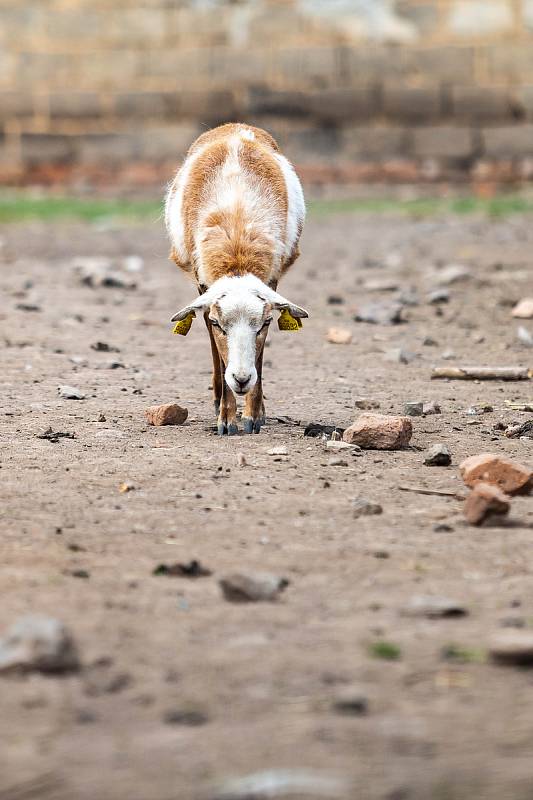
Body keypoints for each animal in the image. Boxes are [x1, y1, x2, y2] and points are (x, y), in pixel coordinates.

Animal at [164, 122, 306, 434]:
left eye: (264, 323)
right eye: (220, 323)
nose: (241, 380)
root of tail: (234, 126)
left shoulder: (271, 281)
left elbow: (260, 357)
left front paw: (254, 416)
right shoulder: (204, 283)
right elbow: (217, 346)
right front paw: (226, 420)